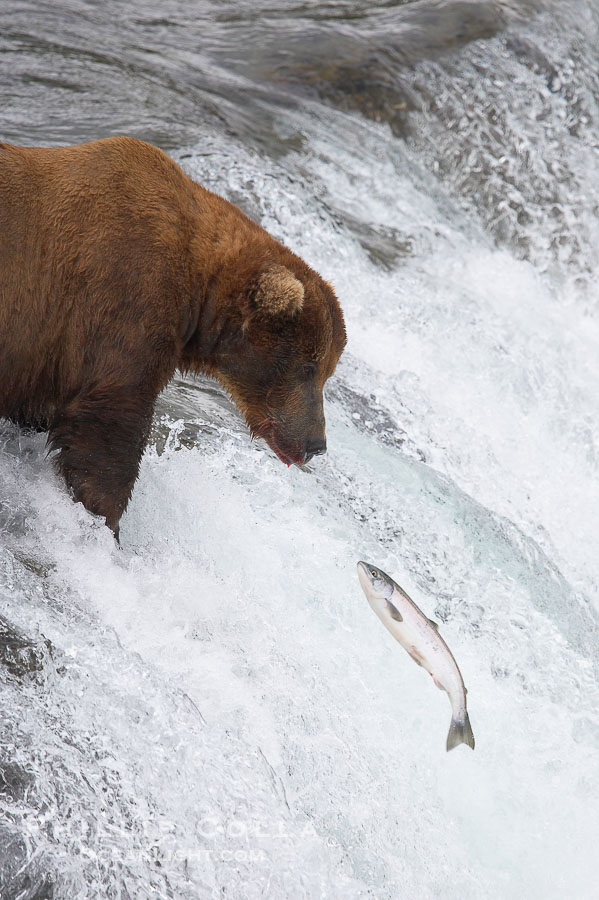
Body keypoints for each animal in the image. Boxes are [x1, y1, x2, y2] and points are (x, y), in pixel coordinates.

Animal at [0, 136, 346, 536]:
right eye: (308, 367)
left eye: (328, 371)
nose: (316, 443)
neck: (200, 291)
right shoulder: (122, 299)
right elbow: (108, 428)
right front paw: (106, 521)